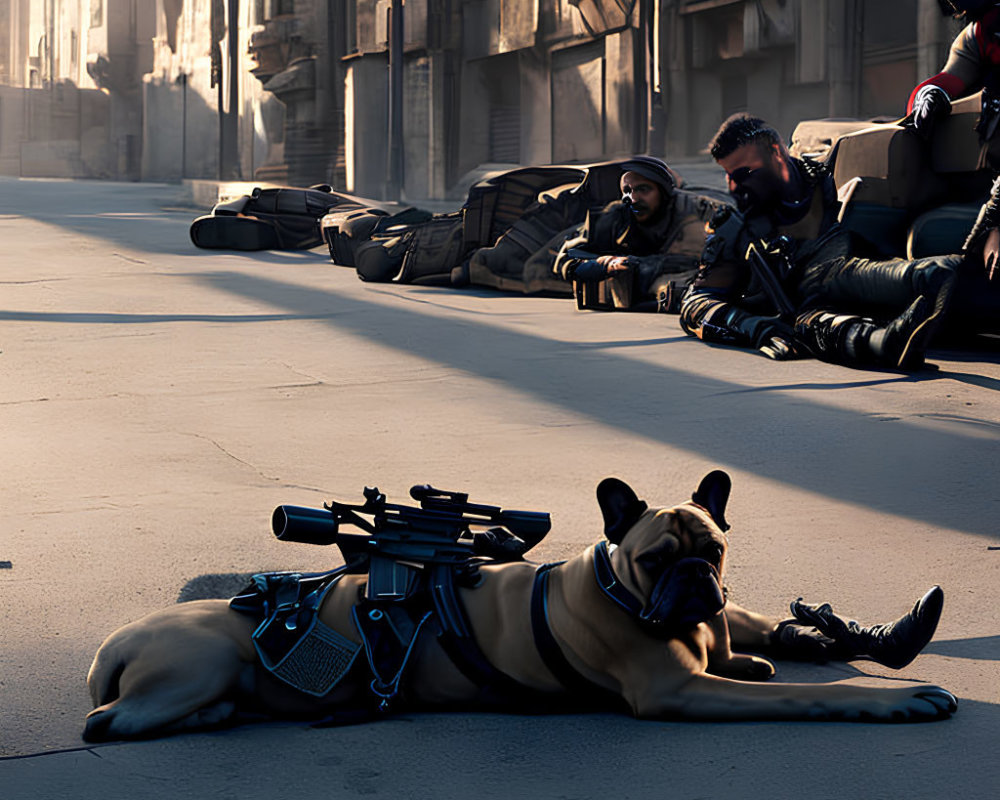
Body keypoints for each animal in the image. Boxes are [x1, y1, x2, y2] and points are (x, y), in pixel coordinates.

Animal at [84, 468, 952, 744]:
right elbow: (809, 694)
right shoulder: (677, 691)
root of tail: (113, 641)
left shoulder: (717, 614)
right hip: (204, 662)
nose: (694, 579)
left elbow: (756, 625)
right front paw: (902, 697)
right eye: (654, 560)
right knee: (108, 721)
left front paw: (815, 635)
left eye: (712, 550)